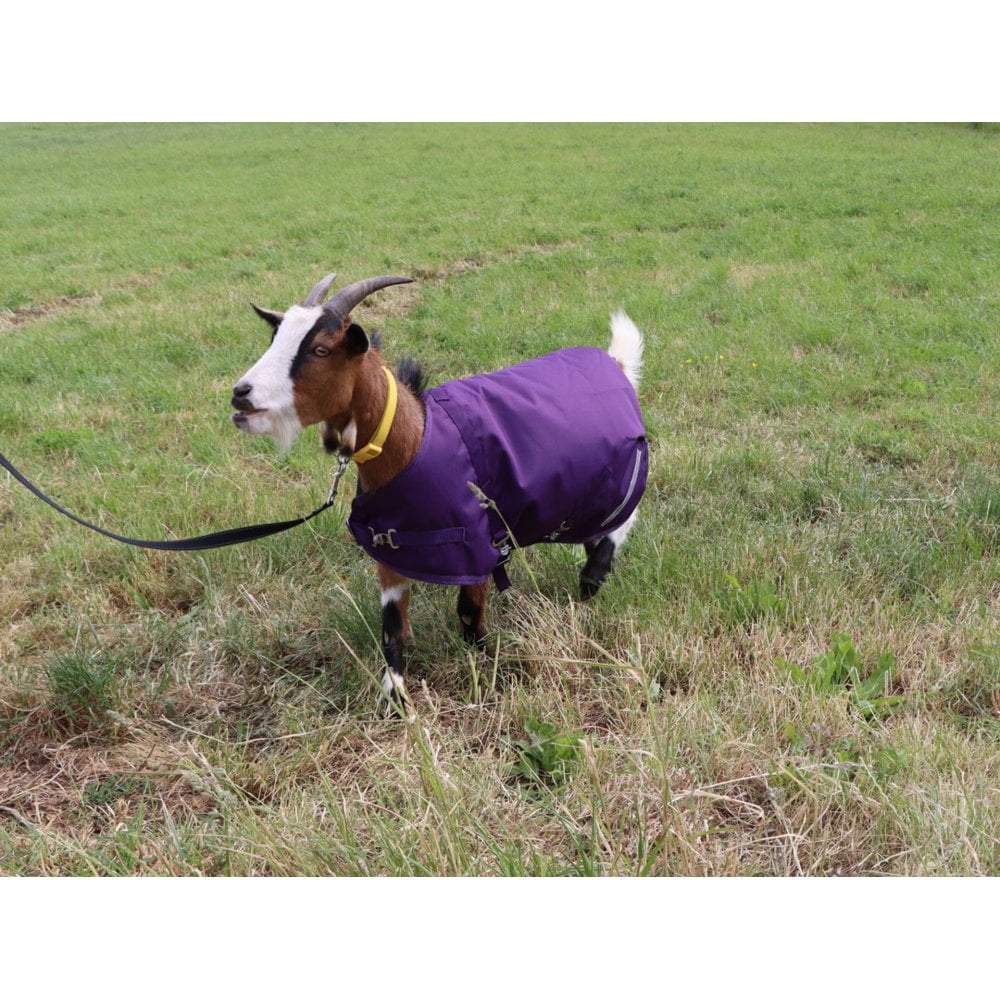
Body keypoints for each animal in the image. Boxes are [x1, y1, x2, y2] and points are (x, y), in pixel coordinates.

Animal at [232, 273, 647, 708]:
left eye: (320, 349)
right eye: (274, 338)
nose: (241, 393)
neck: (416, 441)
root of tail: (615, 365)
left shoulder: (478, 547)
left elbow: (467, 612)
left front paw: (486, 665)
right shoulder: (391, 552)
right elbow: (392, 626)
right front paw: (397, 697)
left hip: (618, 476)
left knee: (623, 519)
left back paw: (592, 578)